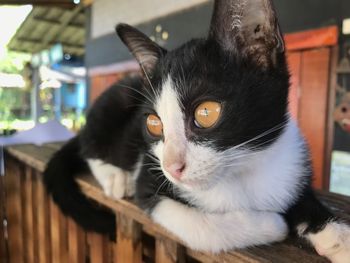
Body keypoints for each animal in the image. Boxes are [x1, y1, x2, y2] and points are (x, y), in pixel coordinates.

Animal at [43, 0, 350, 262]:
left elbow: (302, 195)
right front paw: (272, 223)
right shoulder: (150, 181)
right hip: (114, 101)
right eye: (154, 123)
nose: (171, 166)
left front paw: (336, 235)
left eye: (206, 113)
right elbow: (202, 226)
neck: (244, 172)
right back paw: (116, 177)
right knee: (88, 144)